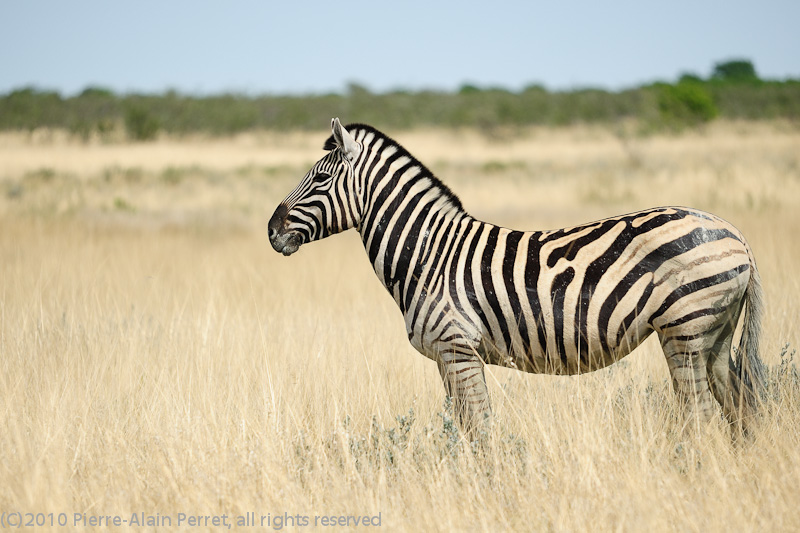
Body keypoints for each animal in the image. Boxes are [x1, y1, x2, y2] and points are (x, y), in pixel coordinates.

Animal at [270, 119, 768, 436]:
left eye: (319, 179)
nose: (272, 229)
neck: (428, 255)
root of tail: (736, 233)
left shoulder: (457, 349)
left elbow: (480, 431)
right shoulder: (447, 357)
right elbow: (465, 427)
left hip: (684, 330)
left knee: (700, 416)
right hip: (714, 334)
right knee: (739, 410)